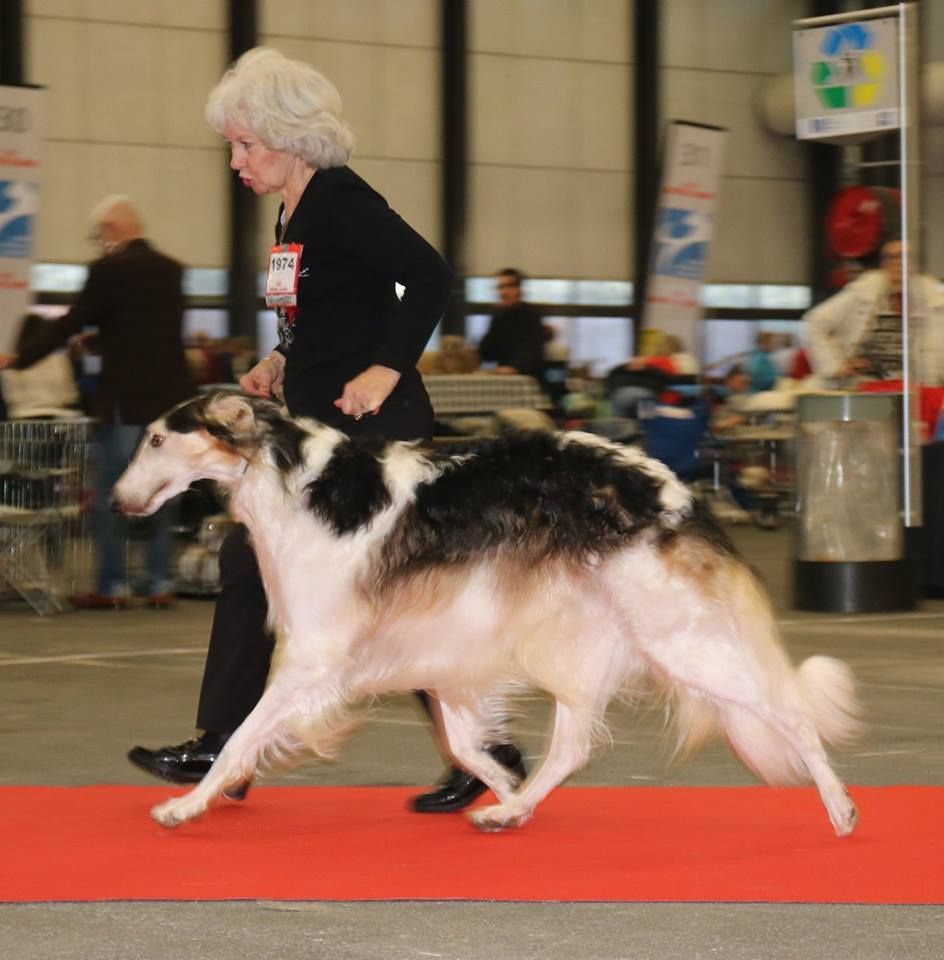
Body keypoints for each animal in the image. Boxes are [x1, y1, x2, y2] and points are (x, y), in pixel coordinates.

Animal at [112, 394, 864, 836]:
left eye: (156, 439)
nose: (118, 502)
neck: (293, 479)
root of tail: (678, 491)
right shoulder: (442, 648)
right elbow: (469, 741)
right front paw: (499, 784)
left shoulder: (314, 657)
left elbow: (241, 735)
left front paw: (186, 802)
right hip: (593, 641)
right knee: (573, 746)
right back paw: (515, 808)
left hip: (680, 640)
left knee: (791, 713)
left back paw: (841, 807)